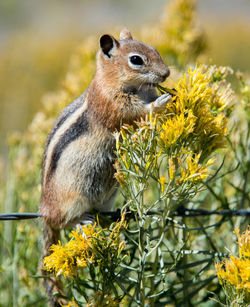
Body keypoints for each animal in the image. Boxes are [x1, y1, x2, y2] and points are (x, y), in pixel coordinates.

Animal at [39, 28, 172, 306]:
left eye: (154, 49)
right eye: (136, 60)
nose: (166, 74)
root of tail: (44, 210)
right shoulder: (112, 104)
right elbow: (134, 114)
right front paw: (160, 103)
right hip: (72, 198)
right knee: (65, 221)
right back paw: (82, 221)